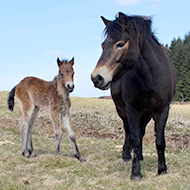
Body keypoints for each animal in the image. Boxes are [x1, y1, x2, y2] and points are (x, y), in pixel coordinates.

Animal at [91, 12, 176, 180]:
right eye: (103, 45)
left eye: (120, 44)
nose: (96, 78)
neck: (151, 78)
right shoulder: (132, 110)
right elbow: (134, 138)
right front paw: (136, 172)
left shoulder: (163, 111)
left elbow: (159, 141)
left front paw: (162, 169)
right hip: (123, 110)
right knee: (128, 131)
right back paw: (126, 155)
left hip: (146, 114)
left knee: (141, 132)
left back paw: (141, 156)